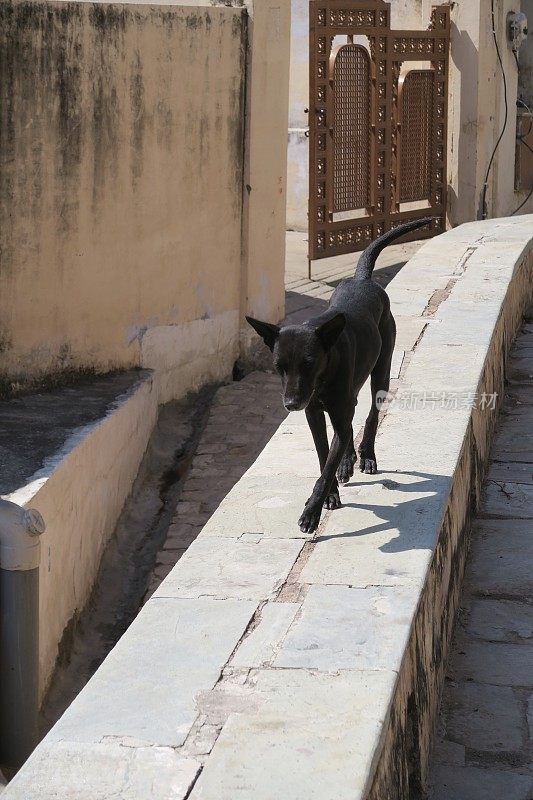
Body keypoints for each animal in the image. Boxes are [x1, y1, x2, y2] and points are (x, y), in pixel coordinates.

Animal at [247, 216, 430, 536]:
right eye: (279, 366)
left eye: (309, 363)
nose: (291, 404)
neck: (323, 377)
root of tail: (362, 279)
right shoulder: (314, 415)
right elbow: (324, 458)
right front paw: (330, 493)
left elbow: (330, 460)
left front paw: (312, 511)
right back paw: (348, 461)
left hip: (381, 370)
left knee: (370, 414)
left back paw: (366, 455)